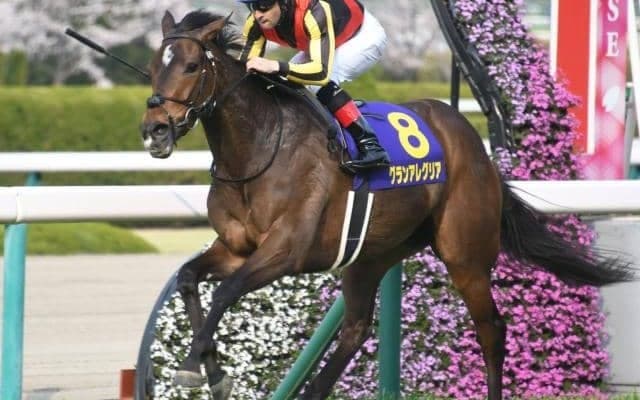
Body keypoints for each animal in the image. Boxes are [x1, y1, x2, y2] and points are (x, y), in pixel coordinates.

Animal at [139, 10, 633, 400]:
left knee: (491, 329)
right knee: (356, 329)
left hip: (465, 253)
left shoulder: (285, 251)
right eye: (151, 68)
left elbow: (225, 292)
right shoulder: (237, 248)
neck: (258, 150)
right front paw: (212, 371)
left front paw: (192, 367)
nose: (154, 130)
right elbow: (190, 279)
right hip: (371, 254)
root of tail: (473, 143)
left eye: (190, 66)